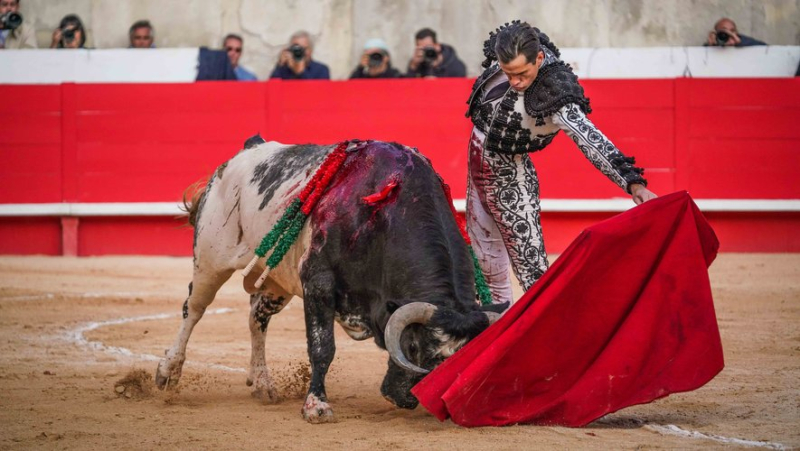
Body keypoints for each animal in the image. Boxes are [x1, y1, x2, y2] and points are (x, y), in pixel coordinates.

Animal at [156, 138, 506, 424]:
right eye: (415, 347)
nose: (408, 400)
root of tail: (243, 152)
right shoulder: (318, 283)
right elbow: (322, 347)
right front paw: (316, 406)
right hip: (210, 259)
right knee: (194, 309)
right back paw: (167, 372)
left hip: (276, 282)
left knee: (257, 319)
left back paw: (263, 384)